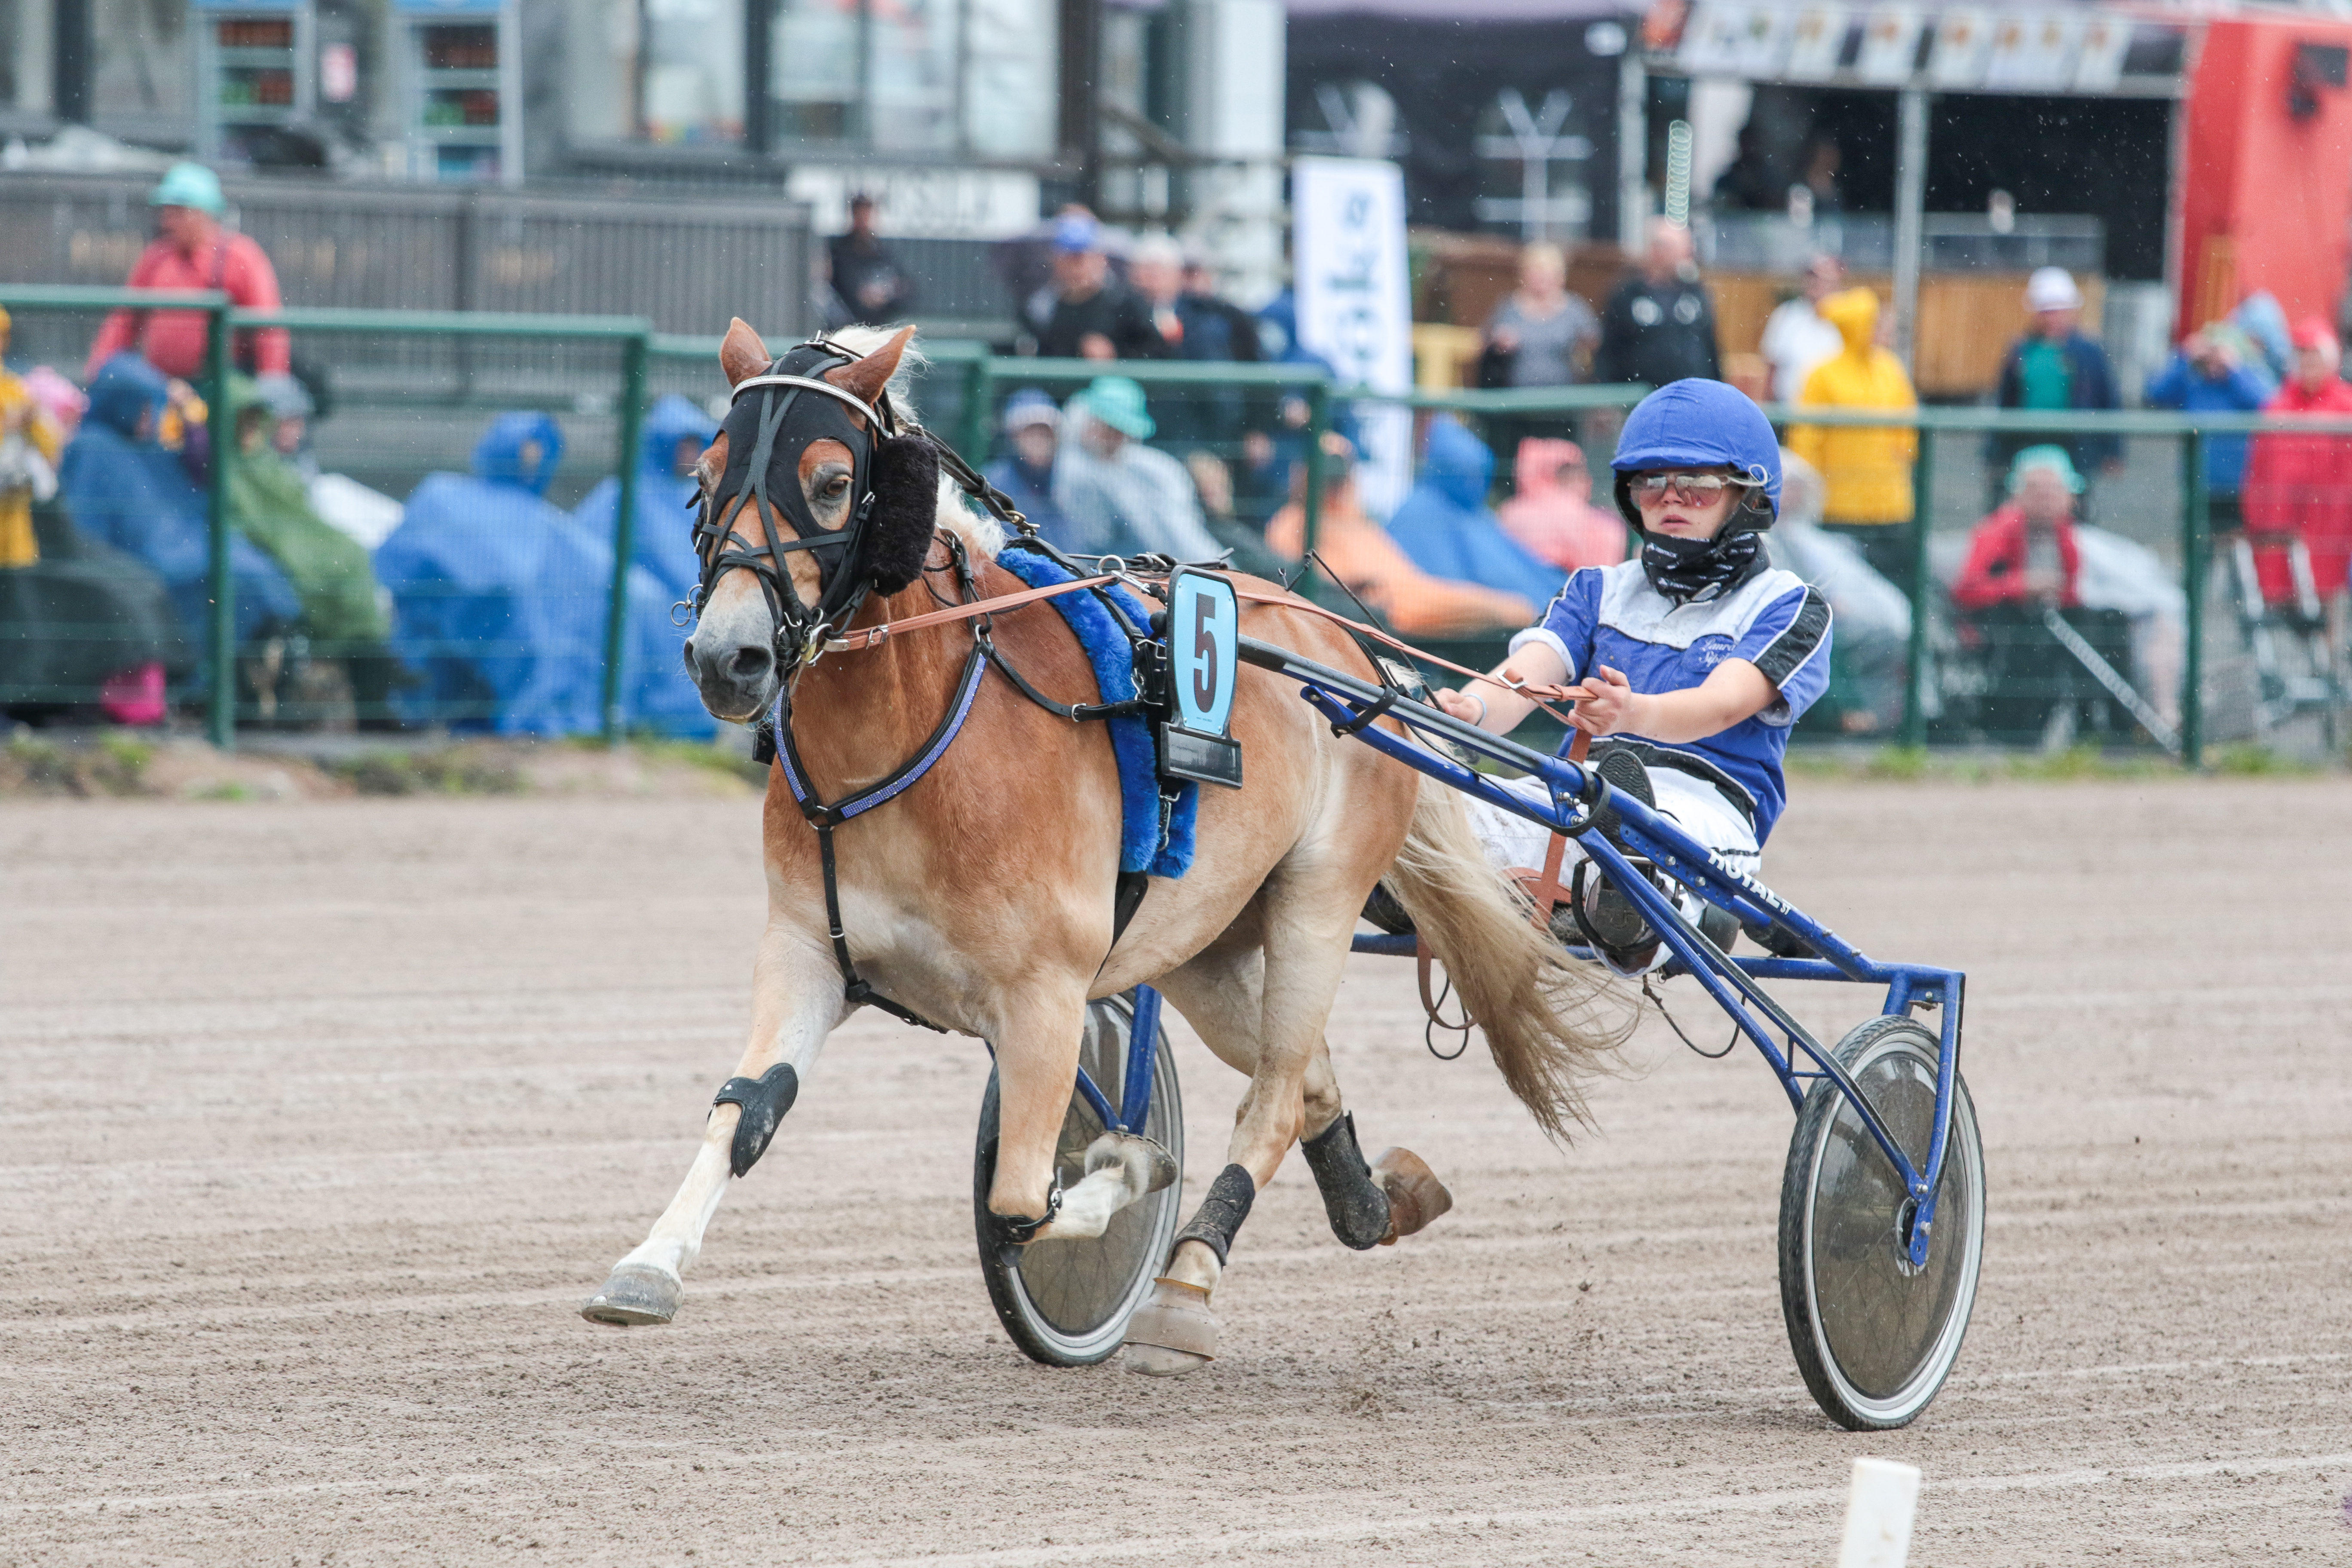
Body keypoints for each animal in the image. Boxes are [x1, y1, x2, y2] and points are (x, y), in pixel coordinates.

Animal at [579, 322, 1627, 1373]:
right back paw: (1377, 1202)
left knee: (1273, 1101)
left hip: (1317, 905)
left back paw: (1186, 1286)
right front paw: (650, 1264)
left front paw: (1129, 1166)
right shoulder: (805, 949)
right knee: (1306, 1077)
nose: (728, 658)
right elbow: (745, 1109)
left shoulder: (1047, 996)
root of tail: (1352, 649)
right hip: (1203, 944)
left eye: (832, 481)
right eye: (703, 479)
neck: (920, 740)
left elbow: (1022, 1199)